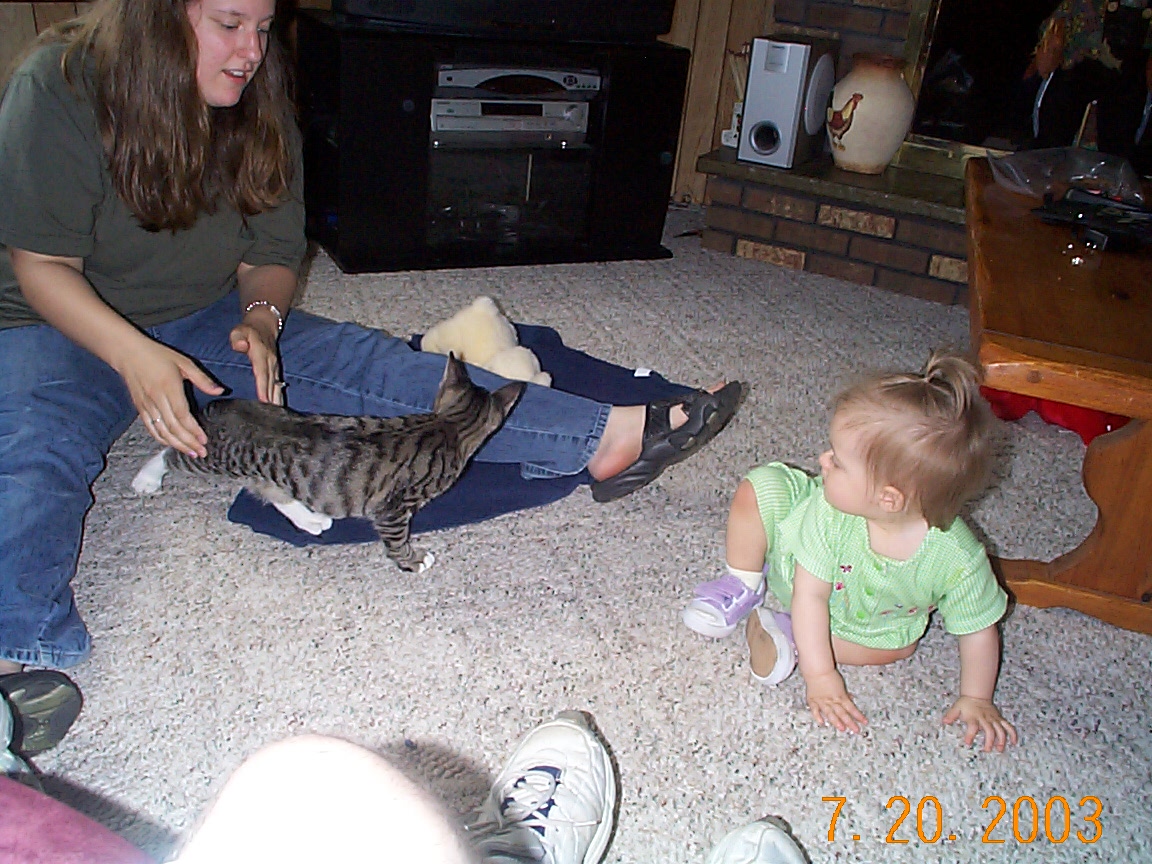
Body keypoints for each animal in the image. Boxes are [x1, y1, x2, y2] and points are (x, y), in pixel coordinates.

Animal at [132, 354, 524, 573]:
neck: (449, 425)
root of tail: (230, 407)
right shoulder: (393, 509)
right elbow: (396, 540)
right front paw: (412, 560)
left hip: (266, 466)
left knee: (269, 489)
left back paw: (310, 519)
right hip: (212, 457)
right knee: (171, 452)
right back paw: (147, 477)